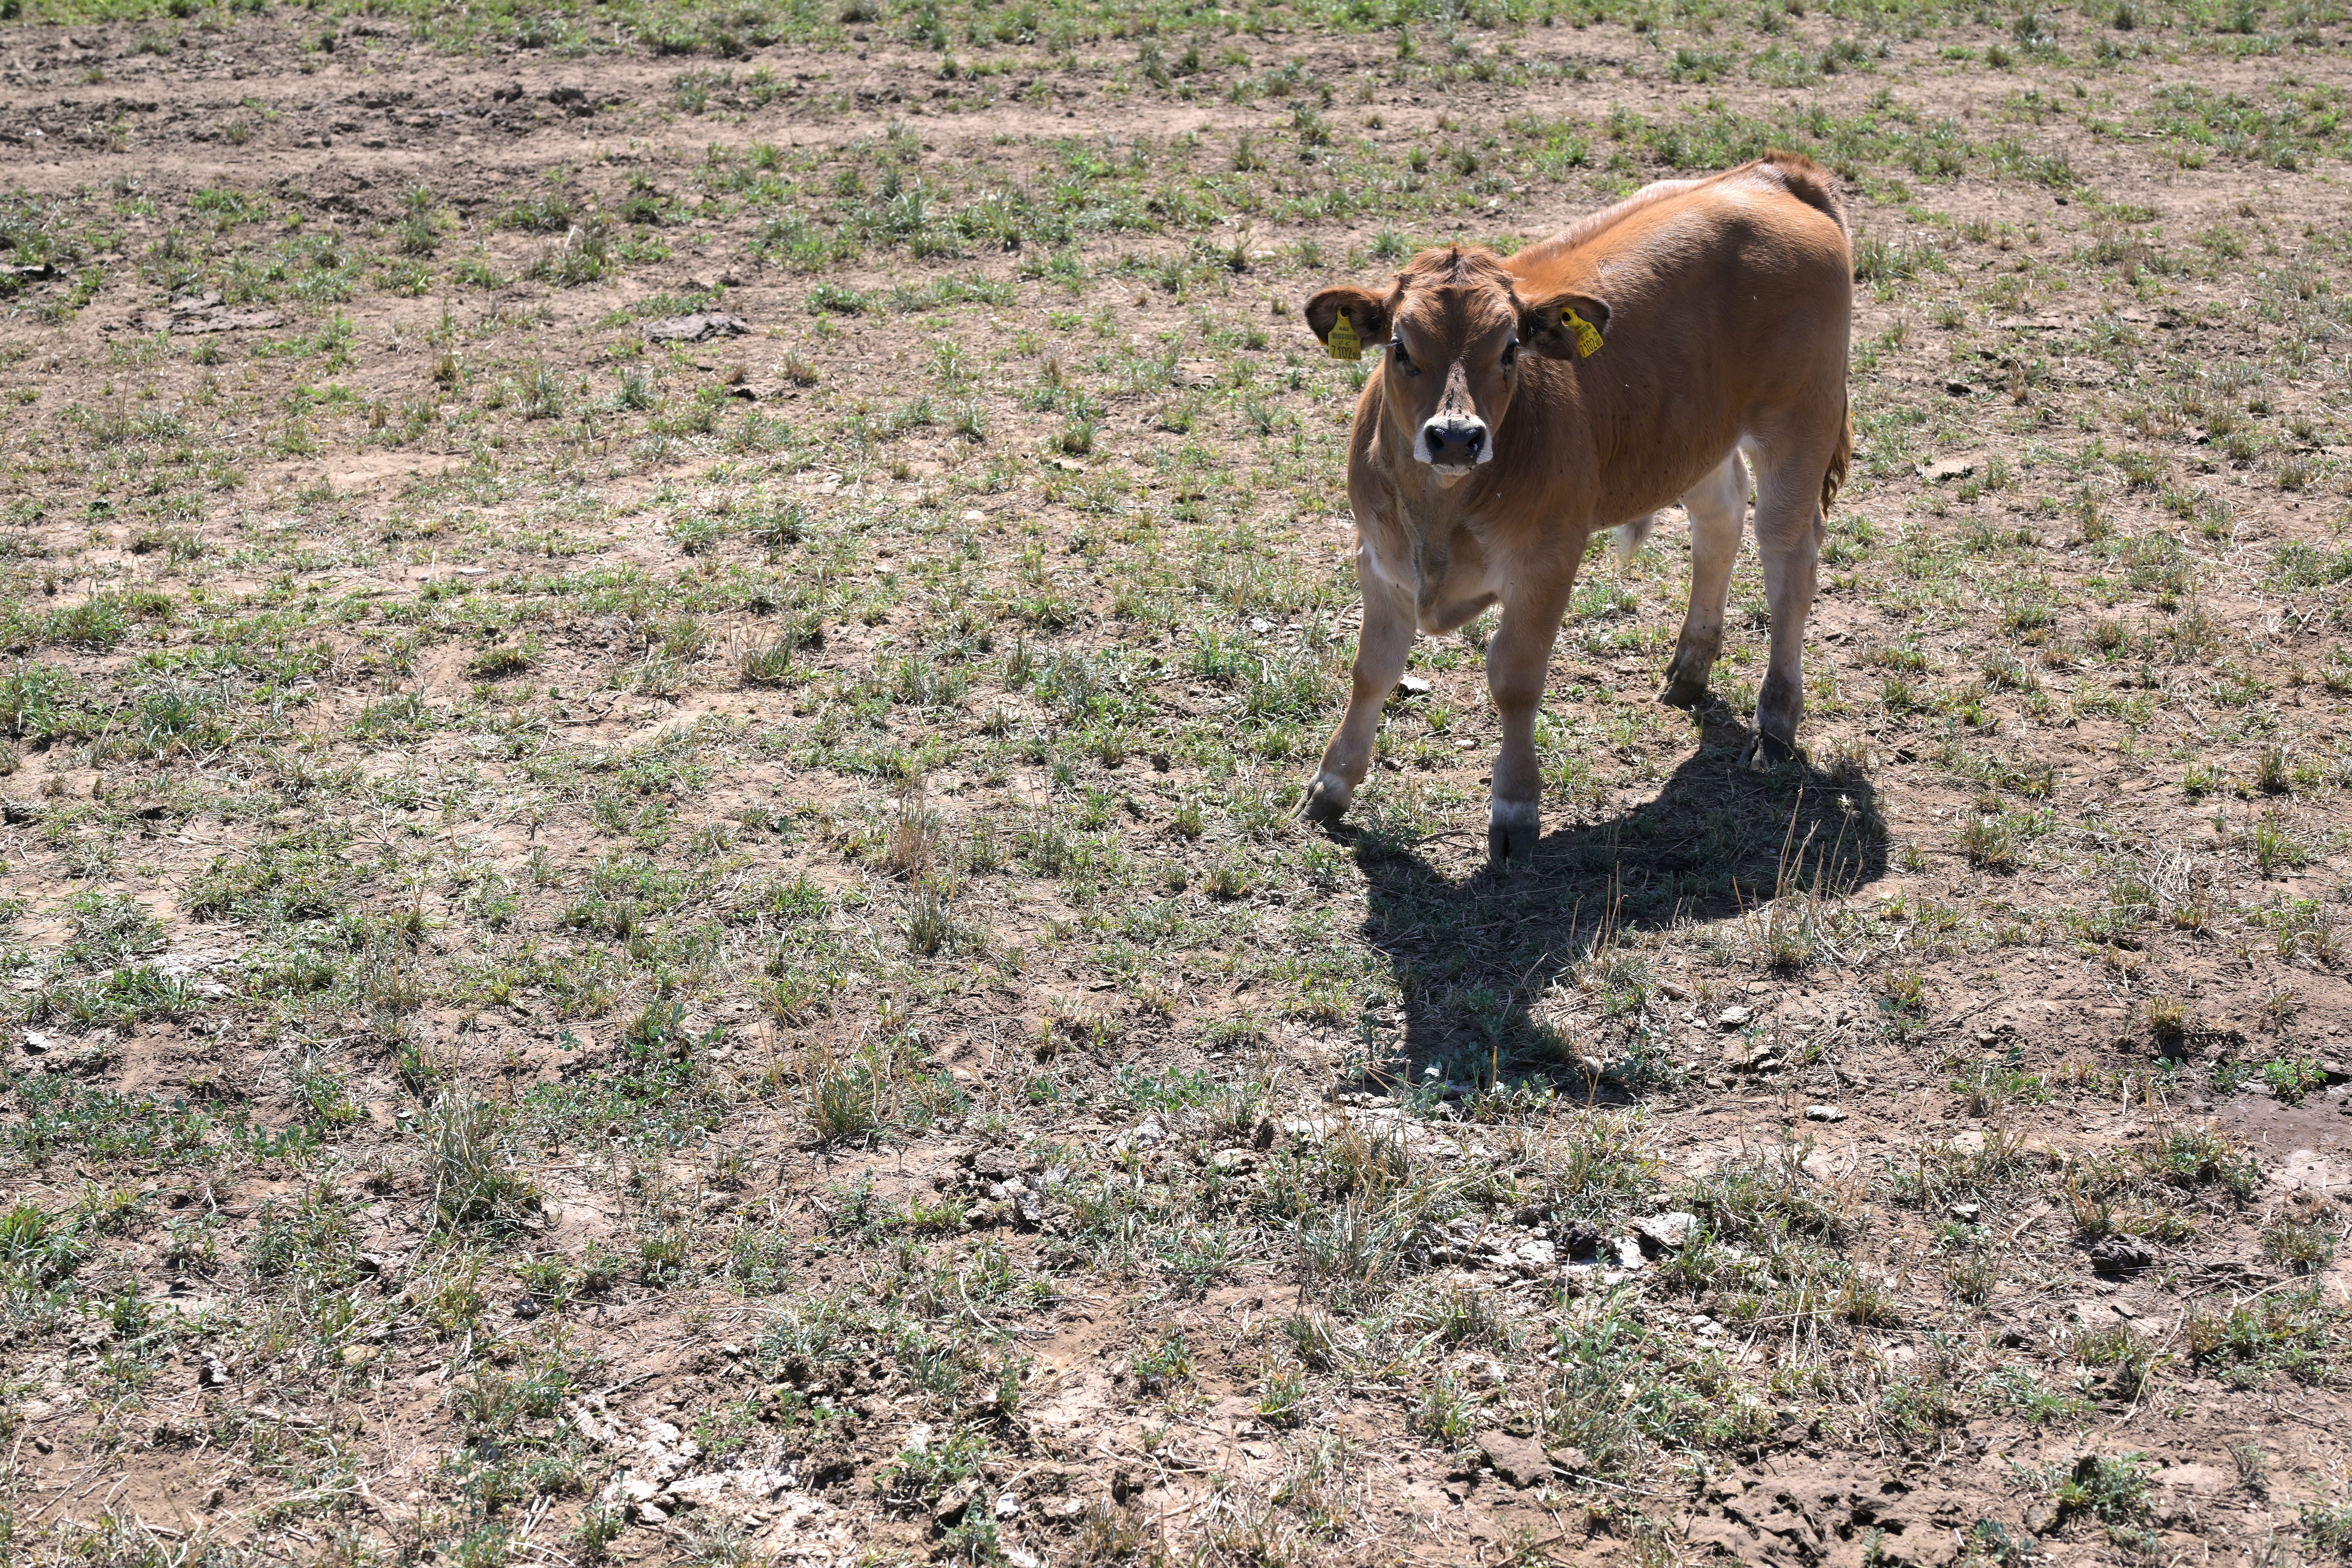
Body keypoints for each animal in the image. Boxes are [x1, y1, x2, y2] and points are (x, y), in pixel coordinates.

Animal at [1296, 151, 1854, 862]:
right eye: (1399, 347)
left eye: (1510, 347)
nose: (1455, 436)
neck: (1439, 516)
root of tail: (1768, 175)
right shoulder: (1378, 555)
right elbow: (1372, 669)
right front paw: (1331, 787)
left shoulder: (1547, 560)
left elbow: (1515, 677)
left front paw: (1514, 808)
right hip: (1693, 433)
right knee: (1719, 519)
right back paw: (1689, 670)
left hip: (1800, 423)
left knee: (1789, 557)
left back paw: (1776, 722)